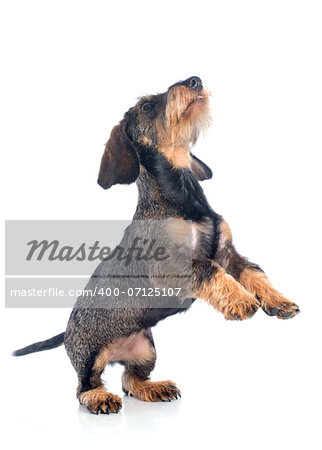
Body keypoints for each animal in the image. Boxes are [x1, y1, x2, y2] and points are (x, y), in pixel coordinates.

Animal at [12, 74, 300, 414]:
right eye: (147, 106)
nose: (195, 80)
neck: (181, 196)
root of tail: (68, 333)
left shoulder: (227, 252)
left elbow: (253, 272)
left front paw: (278, 300)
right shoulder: (171, 268)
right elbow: (209, 268)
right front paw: (241, 301)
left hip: (146, 348)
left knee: (130, 380)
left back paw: (155, 388)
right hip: (91, 356)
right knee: (85, 387)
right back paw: (100, 398)